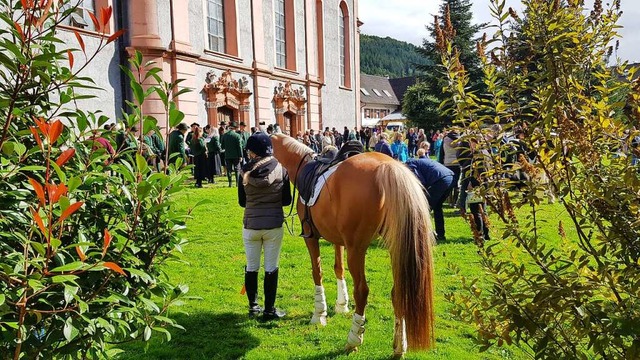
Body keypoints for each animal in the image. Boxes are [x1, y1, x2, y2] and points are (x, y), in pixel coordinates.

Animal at [270, 134, 436, 356]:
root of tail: (388, 168)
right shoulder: (338, 240)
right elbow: (338, 269)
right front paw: (341, 305)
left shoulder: (311, 237)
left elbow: (317, 272)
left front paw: (319, 313)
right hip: (396, 248)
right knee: (398, 292)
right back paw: (399, 346)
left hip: (357, 249)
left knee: (362, 291)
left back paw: (354, 339)